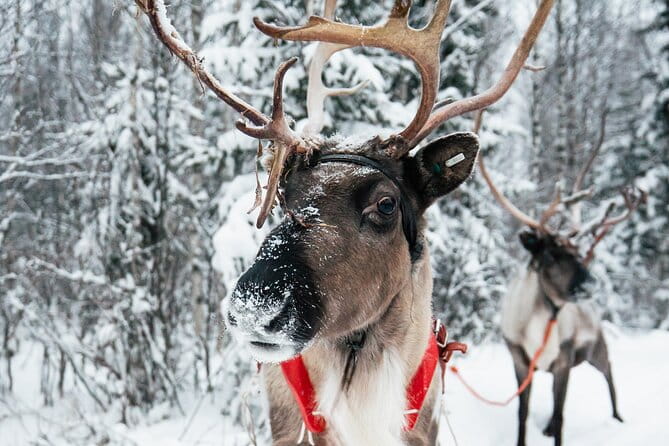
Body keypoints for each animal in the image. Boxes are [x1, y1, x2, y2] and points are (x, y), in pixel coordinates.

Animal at [475, 111, 645, 446]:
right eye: (552, 255)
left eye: (579, 253)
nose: (590, 284)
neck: (540, 322)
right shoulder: (520, 361)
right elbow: (523, 414)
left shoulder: (563, 361)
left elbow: (560, 415)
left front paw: (555, 430)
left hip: (596, 349)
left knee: (609, 373)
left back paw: (618, 418)